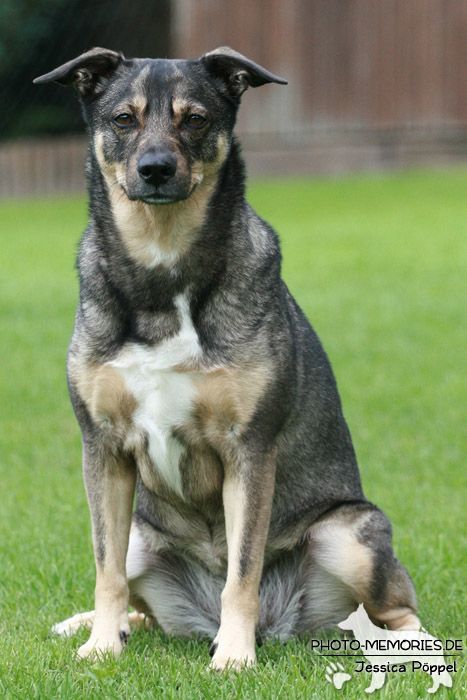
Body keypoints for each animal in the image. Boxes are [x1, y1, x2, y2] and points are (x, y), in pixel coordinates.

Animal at [33, 46, 420, 668]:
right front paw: (101, 647)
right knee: (140, 603)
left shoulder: (249, 449)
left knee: (398, 612)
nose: (156, 169)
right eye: (123, 119)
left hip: (349, 534)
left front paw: (234, 657)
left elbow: (243, 570)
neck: (164, 271)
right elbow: (104, 569)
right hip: (141, 536)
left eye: (195, 119)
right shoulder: (103, 448)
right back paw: (95, 626)